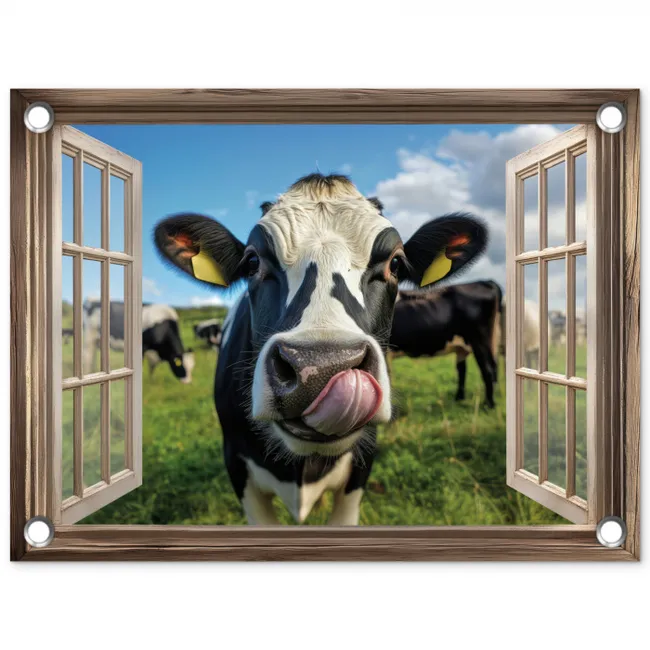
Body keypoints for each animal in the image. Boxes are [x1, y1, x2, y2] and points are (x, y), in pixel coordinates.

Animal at [388, 280, 502, 408]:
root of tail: (486, 282)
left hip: (480, 340)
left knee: (488, 370)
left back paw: (488, 405)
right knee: (465, 369)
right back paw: (459, 399)